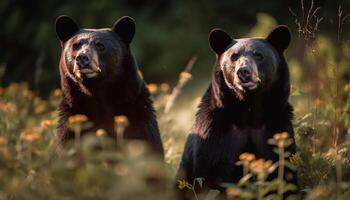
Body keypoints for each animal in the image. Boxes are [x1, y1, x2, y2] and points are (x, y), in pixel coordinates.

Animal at [54, 16, 164, 156]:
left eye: (100, 46)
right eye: (76, 45)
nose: (82, 58)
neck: (98, 93)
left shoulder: (138, 116)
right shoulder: (72, 119)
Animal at [178, 25, 298, 198]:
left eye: (258, 55)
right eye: (233, 57)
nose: (243, 72)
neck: (248, 112)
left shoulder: (276, 129)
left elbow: (284, 175)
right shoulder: (214, 135)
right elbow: (207, 176)